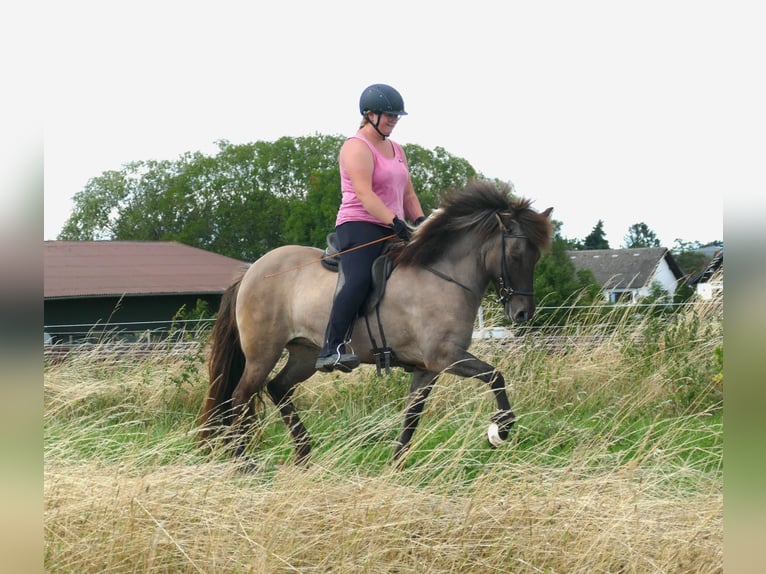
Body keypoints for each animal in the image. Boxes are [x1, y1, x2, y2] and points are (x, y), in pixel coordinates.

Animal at [198, 181, 552, 468]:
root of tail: (252, 270)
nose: (522, 313)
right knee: (240, 396)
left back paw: (304, 453)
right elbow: (495, 375)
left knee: (277, 388)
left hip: (304, 354)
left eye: (537, 256)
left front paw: (396, 466)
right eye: (516, 254)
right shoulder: (445, 356)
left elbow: (412, 416)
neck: (442, 275)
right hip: (263, 352)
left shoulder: (427, 368)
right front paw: (500, 429)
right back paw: (243, 461)